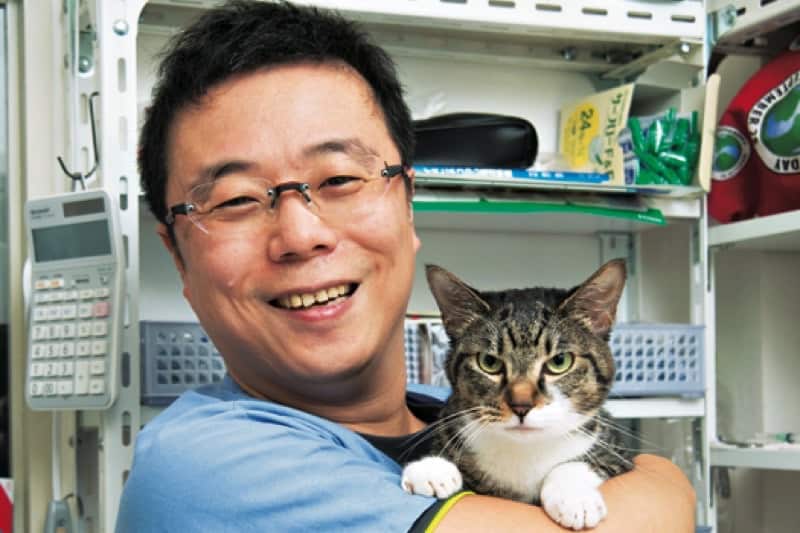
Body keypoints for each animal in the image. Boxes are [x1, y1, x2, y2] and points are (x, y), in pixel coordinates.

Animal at [401, 259, 634, 530]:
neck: (525, 451)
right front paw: (432, 468)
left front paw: (574, 497)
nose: (521, 405)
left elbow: (586, 462)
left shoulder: (620, 454)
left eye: (560, 361)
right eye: (489, 362)